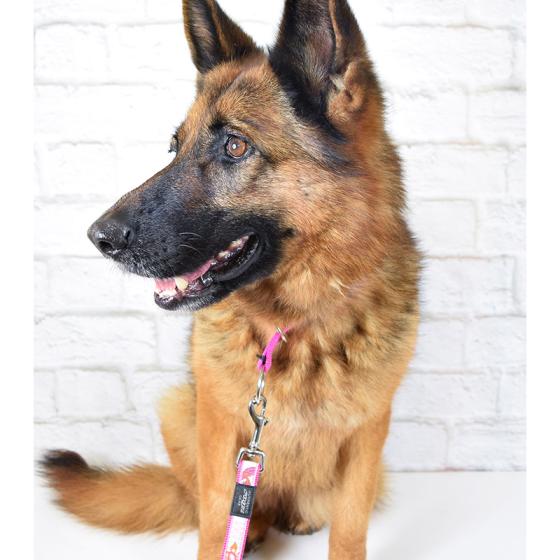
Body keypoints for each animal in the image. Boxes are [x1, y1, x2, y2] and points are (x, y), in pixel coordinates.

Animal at [41, 1, 421, 558]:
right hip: (180, 410)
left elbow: (350, 531)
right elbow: (217, 517)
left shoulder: (367, 439)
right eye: (174, 146)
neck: (295, 328)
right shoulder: (220, 431)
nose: (98, 237)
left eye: (236, 146)